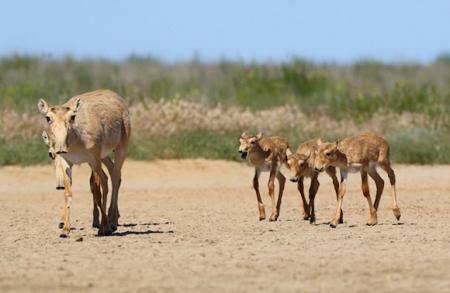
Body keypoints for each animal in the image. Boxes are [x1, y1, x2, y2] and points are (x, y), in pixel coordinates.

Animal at [38, 89, 130, 235]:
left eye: (72, 117)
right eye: (48, 117)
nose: (61, 148)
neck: (77, 140)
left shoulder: (94, 160)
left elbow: (96, 192)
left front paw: (104, 228)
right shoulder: (67, 162)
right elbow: (68, 193)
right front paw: (65, 229)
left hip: (121, 149)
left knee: (115, 178)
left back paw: (112, 222)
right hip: (104, 156)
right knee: (109, 176)